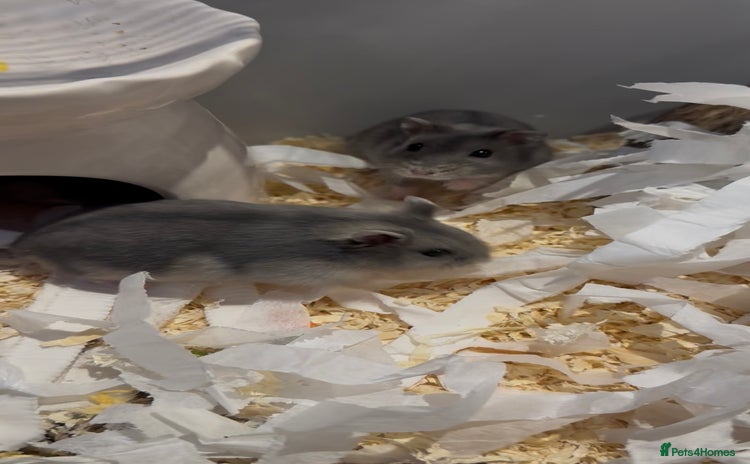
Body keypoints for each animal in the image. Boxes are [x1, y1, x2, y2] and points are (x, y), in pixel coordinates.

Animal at [348, 110, 552, 192]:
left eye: (483, 153)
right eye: (414, 146)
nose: (419, 172)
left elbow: (484, 179)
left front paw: (450, 186)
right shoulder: (384, 157)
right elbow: (393, 178)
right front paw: (405, 192)